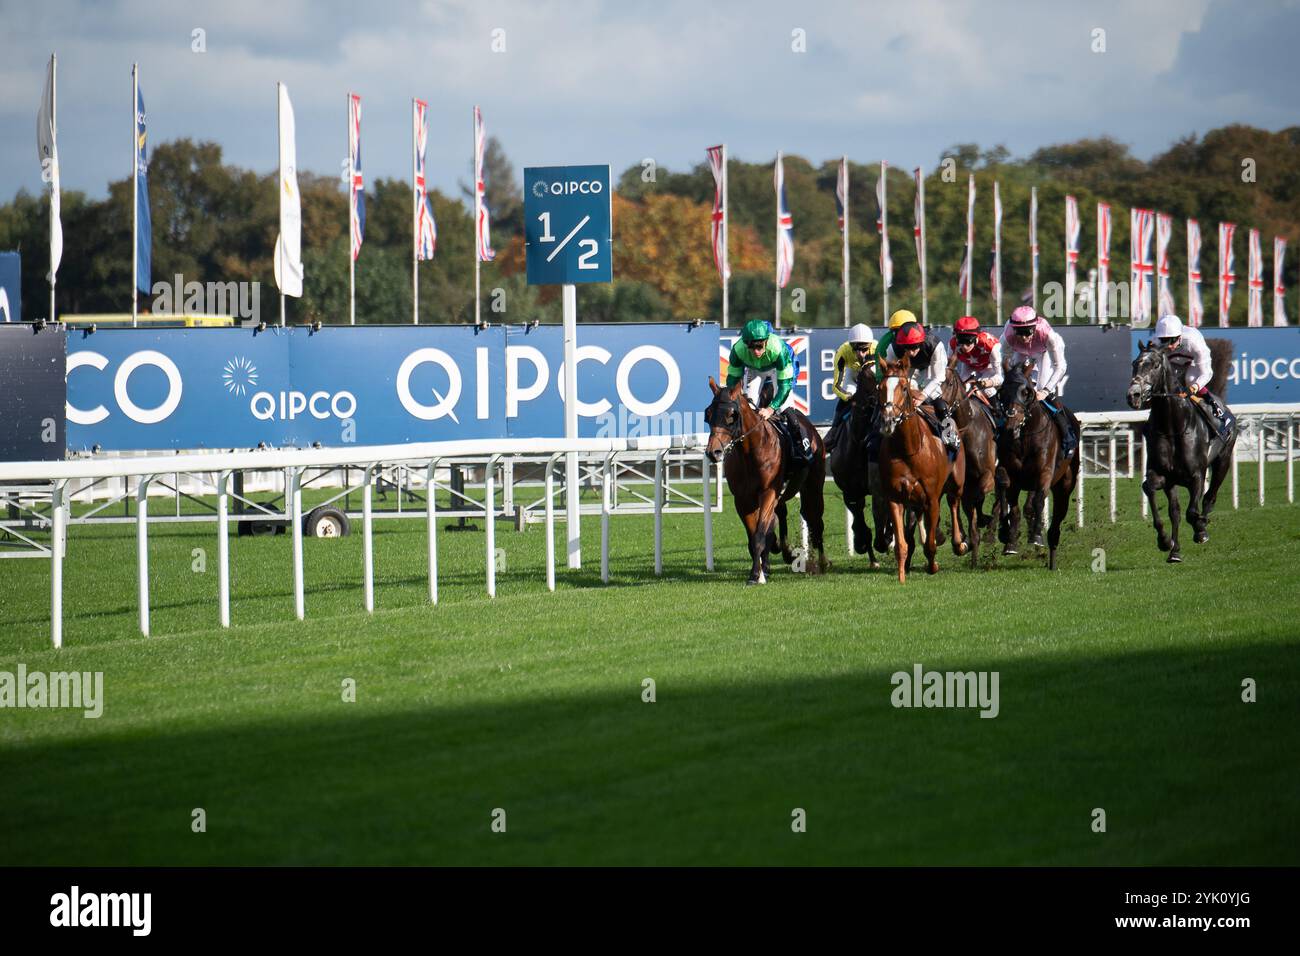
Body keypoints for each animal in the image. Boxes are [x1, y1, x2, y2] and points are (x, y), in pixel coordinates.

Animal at [707, 377, 826, 587]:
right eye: (708, 414)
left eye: (731, 415)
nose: (713, 452)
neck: (751, 452)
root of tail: (813, 430)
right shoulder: (742, 499)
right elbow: (754, 535)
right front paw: (761, 570)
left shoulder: (769, 492)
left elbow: (760, 535)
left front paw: (756, 574)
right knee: (783, 514)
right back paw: (784, 552)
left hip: (813, 485)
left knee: (815, 520)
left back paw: (821, 563)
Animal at [873, 358, 967, 582]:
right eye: (880, 388)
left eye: (904, 387)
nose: (888, 420)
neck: (909, 449)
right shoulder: (895, 498)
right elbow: (901, 544)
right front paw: (901, 576)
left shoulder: (932, 498)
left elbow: (931, 545)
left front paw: (933, 566)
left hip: (957, 481)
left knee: (954, 502)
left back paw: (959, 543)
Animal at [941, 358, 998, 567]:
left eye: (949, 383)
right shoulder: (960, 483)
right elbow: (960, 503)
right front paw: (964, 541)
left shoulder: (988, 474)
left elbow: (979, 497)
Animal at [993, 358, 1076, 567]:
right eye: (1002, 391)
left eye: (1026, 392)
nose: (1011, 425)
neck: (1024, 437)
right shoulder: (1009, 471)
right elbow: (1009, 500)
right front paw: (1009, 539)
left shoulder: (1044, 471)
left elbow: (1039, 500)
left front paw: (1037, 536)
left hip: (1065, 484)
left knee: (1058, 513)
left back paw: (1051, 542)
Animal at [1123, 338, 1232, 561]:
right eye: (1134, 364)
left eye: (1155, 365)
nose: (1133, 395)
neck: (1172, 427)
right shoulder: (1163, 475)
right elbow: (1153, 492)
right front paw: (1165, 541)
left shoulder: (1197, 475)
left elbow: (1192, 511)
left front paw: (1200, 529)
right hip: (1173, 482)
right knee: (1175, 511)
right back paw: (1174, 551)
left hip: (1223, 460)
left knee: (1210, 497)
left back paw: (1201, 527)